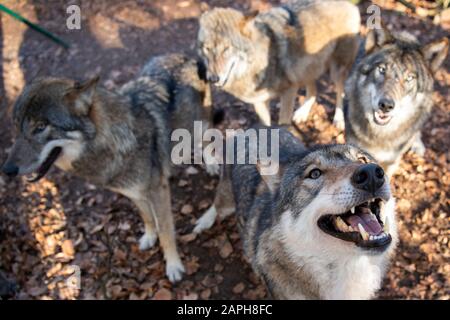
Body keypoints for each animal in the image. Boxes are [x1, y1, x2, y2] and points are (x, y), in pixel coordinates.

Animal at [1, 53, 213, 282]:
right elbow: (148, 217)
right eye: (17, 127)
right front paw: (149, 237)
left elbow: (166, 231)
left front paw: (173, 266)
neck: (111, 143)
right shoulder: (133, 193)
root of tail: (187, 56)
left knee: (209, 140)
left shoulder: (158, 192)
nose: (7, 169)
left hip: (201, 126)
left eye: (40, 127)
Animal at [193, 128, 398, 300]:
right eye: (314, 174)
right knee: (217, 205)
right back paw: (203, 222)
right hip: (226, 201)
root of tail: (253, 128)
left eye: (362, 160)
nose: (371, 173)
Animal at [199, 1, 360, 129]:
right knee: (314, 91)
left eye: (226, 48)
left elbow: (283, 123)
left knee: (340, 92)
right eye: (207, 48)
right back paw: (302, 113)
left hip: (335, 71)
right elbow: (266, 124)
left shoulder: (289, 90)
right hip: (305, 70)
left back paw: (339, 120)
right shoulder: (260, 101)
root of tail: (349, 4)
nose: (213, 78)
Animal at [344, 25, 446, 176]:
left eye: (409, 78)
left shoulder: (391, 162)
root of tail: (405, 34)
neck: (379, 134)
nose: (386, 105)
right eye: (382, 69)